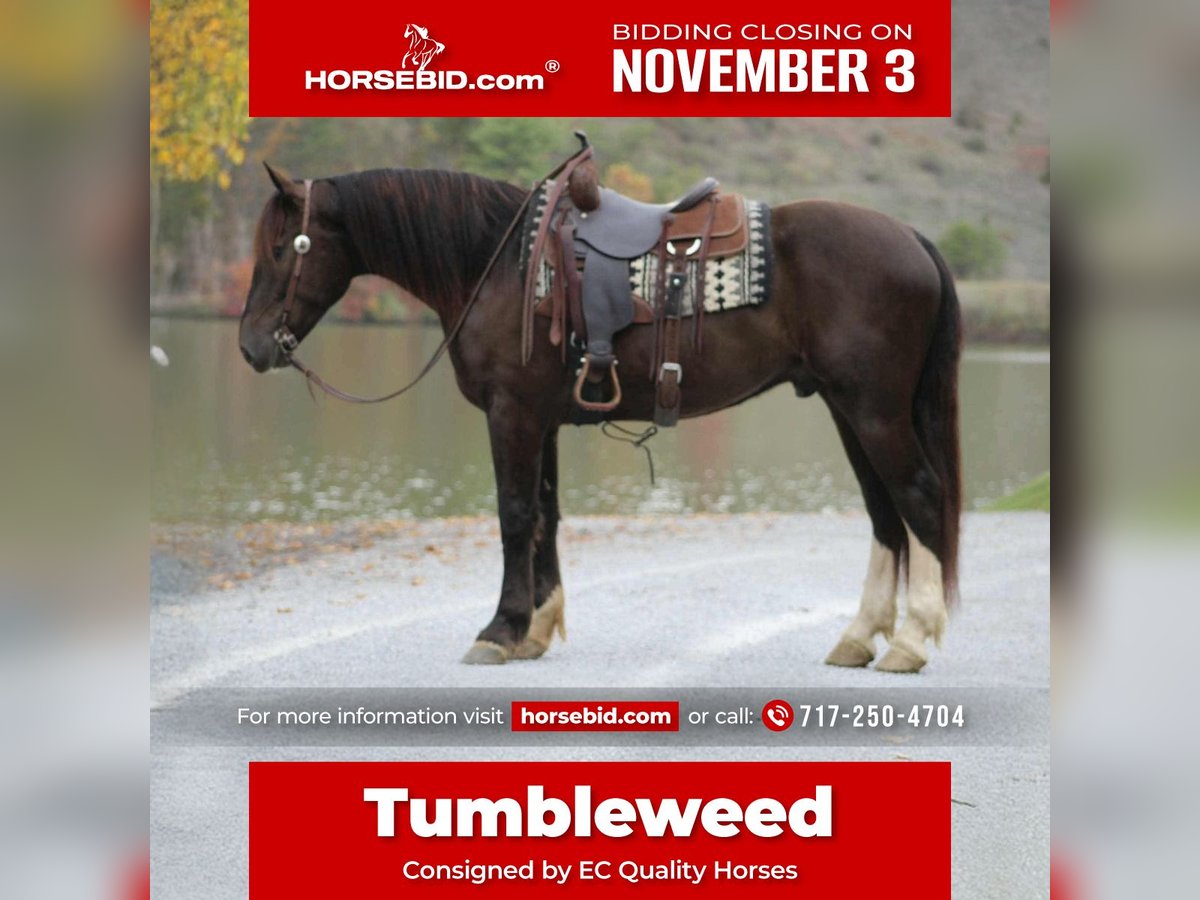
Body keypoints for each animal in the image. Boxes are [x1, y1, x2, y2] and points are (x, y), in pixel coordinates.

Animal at [239, 160, 962, 674]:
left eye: (283, 247)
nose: (250, 347)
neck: (497, 265)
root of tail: (911, 237)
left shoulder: (512, 414)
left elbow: (514, 515)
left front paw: (500, 630)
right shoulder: (543, 420)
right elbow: (546, 517)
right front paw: (535, 628)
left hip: (874, 412)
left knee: (919, 499)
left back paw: (911, 641)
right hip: (849, 411)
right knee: (885, 516)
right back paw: (860, 639)